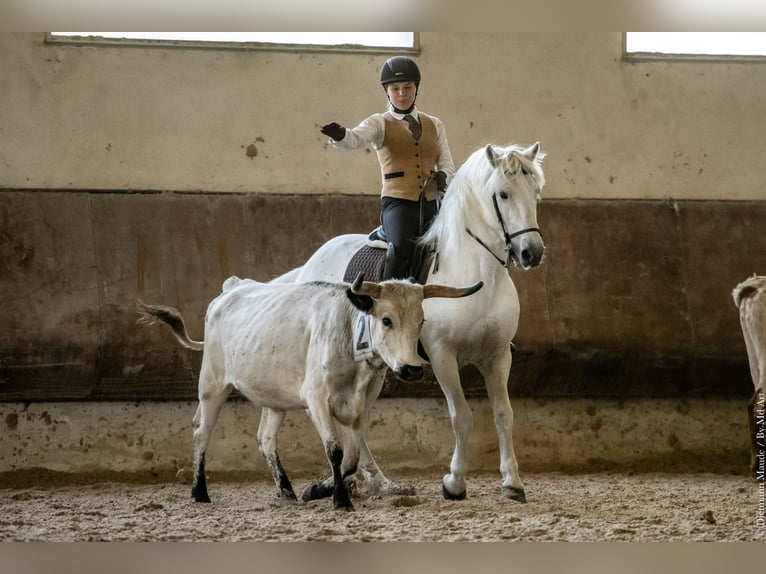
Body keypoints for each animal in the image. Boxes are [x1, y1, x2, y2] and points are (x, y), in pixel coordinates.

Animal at [273, 142, 546, 502]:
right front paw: (454, 483)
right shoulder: (444, 356)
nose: (532, 253)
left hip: (375, 369)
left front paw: (512, 483)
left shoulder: (498, 356)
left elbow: (504, 414)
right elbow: (461, 416)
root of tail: (311, 261)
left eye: (536, 192)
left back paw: (372, 481)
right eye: (503, 194)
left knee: (356, 420)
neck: (476, 274)